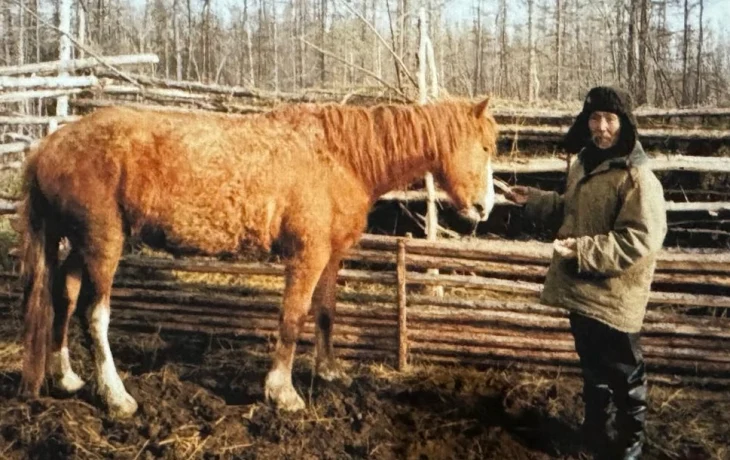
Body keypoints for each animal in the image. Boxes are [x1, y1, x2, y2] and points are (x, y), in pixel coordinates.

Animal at [17, 99, 498, 416]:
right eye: (486, 147)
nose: (484, 208)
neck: (339, 156)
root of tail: (47, 147)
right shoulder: (306, 257)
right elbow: (293, 318)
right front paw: (282, 393)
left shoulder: (330, 257)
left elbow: (325, 312)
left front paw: (329, 372)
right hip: (104, 245)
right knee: (95, 314)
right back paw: (117, 397)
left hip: (82, 244)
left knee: (64, 293)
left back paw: (66, 376)